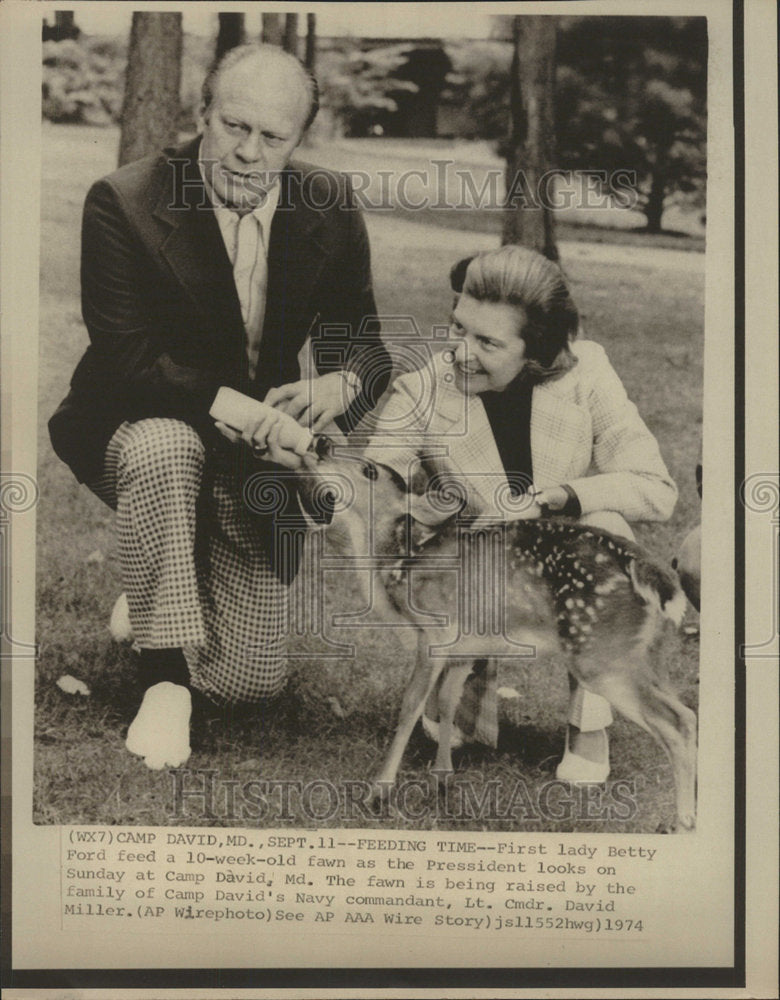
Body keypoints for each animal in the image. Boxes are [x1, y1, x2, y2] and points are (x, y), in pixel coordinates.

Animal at [298, 440, 696, 836]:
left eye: (369, 470)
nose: (321, 442)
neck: (395, 563)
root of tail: (646, 568)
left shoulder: (435, 632)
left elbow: (410, 706)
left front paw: (377, 792)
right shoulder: (464, 647)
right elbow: (448, 701)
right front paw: (441, 778)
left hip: (598, 653)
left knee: (675, 721)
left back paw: (682, 821)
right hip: (641, 651)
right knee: (687, 713)